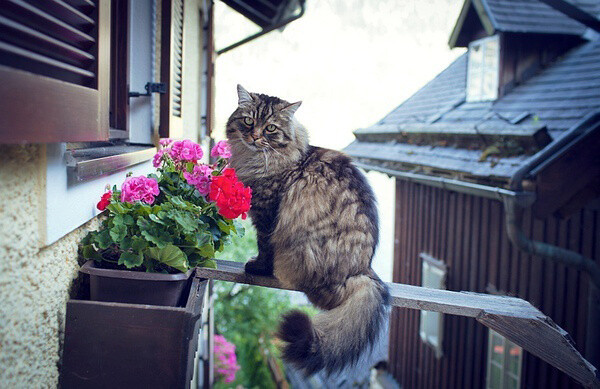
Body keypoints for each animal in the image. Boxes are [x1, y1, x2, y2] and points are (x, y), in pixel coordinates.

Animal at [225, 84, 390, 372]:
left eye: (270, 128)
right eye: (248, 121)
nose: (255, 136)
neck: (256, 160)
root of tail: (363, 271)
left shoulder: (267, 214)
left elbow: (264, 247)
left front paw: (258, 268)